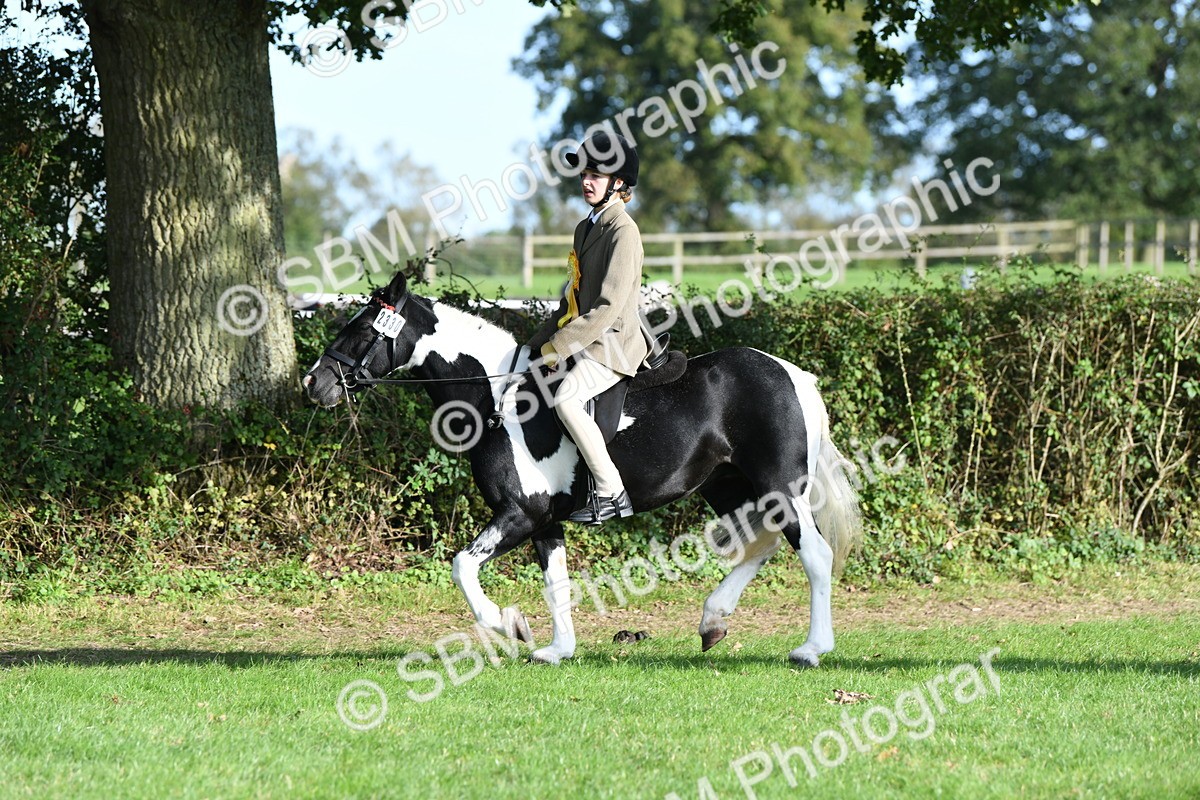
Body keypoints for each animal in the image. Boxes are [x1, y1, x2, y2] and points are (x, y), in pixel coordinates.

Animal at [303, 271, 862, 667]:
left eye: (361, 329)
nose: (314, 383)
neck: (498, 400)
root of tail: (791, 373)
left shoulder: (520, 514)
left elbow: (462, 565)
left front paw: (508, 623)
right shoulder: (544, 522)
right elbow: (557, 583)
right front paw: (556, 650)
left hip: (779, 486)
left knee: (813, 554)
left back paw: (811, 650)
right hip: (730, 487)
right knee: (761, 543)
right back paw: (713, 621)